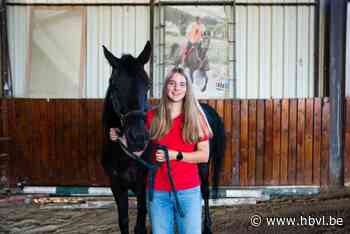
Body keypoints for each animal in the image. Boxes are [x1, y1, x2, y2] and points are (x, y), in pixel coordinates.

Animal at [102, 41, 226, 233]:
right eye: (114, 85)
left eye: (147, 85)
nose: (138, 138)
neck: (124, 155)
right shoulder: (116, 185)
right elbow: (123, 221)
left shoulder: (142, 184)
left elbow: (140, 222)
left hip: (204, 164)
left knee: (204, 191)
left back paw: (207, 226)